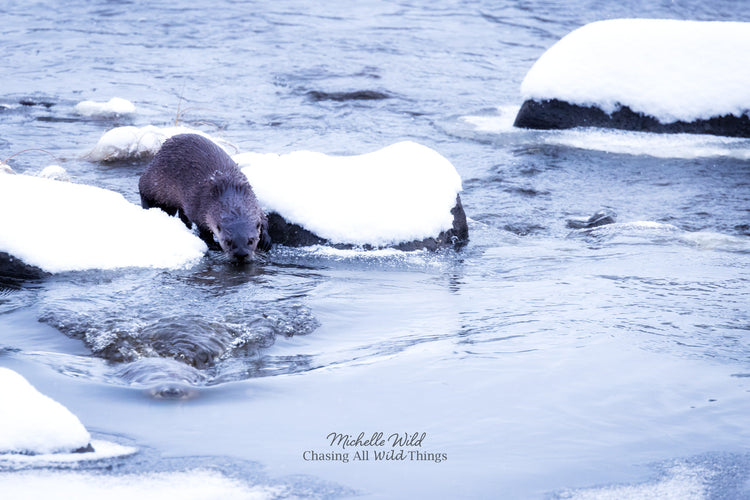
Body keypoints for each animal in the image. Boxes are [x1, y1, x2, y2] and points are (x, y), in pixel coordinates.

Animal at [139, 134, 271, 262]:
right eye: (228, 241)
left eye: (251, 240)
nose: (241, 254)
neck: (229, 190)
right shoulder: (199, 208)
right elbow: (204, 230)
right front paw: (213, 244)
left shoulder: (254, 201)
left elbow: (264, 219)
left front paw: (265, 240)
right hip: (154, 179)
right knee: (143, 189)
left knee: (182, 213)